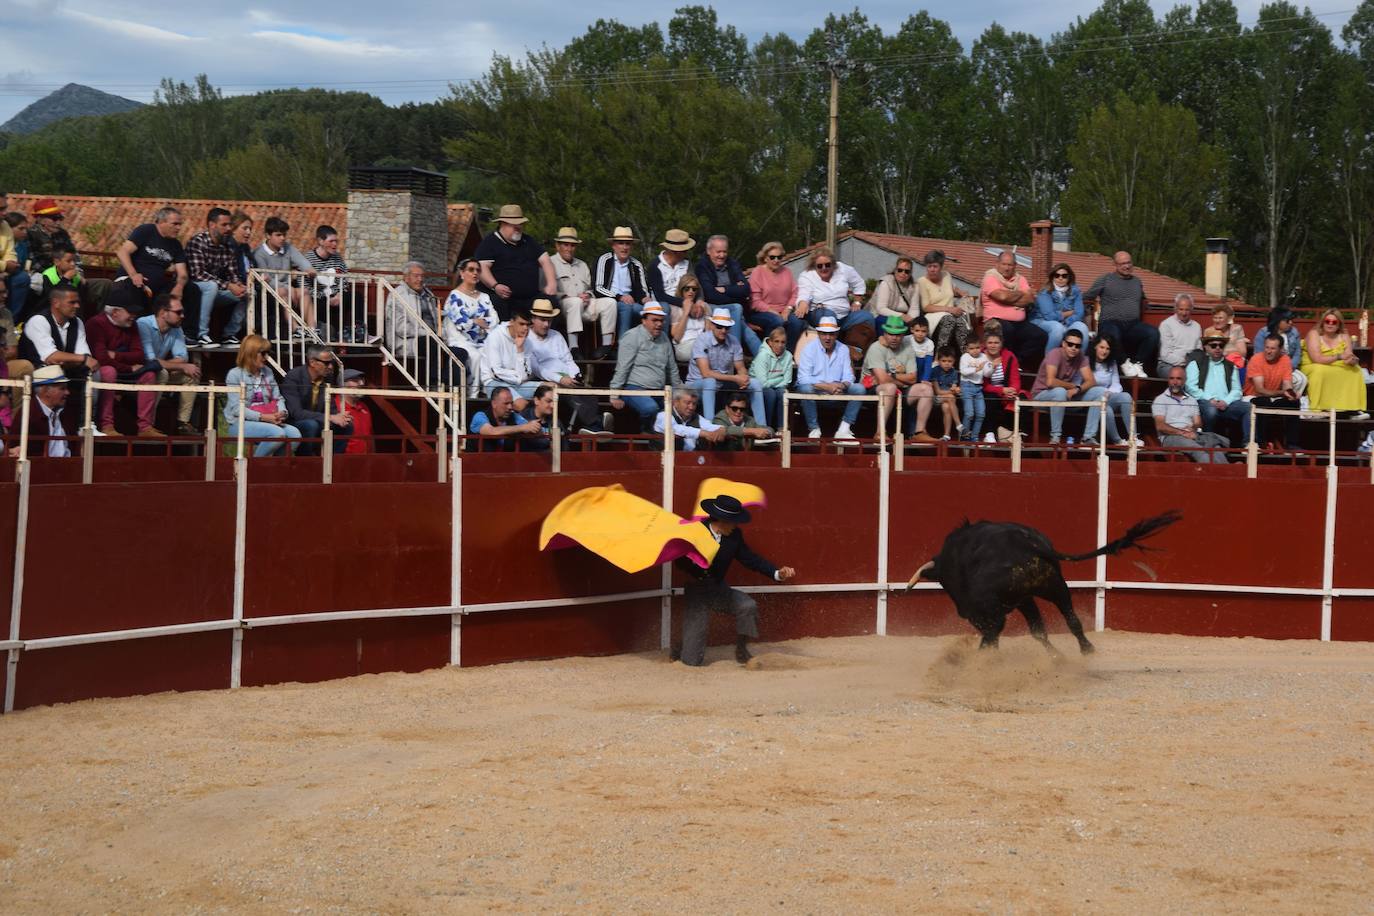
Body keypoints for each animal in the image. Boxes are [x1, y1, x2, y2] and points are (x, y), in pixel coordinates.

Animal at [901, 513, 1181, 656]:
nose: (961, 610)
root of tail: (1024, 544)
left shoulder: (983, 609)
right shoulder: (1025, 599)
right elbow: (1039, 630)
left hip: (1000, 603)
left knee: (995, 631)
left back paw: (983, 657)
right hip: (1054, 586)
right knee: (1070, 620)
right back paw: (1084, 650)